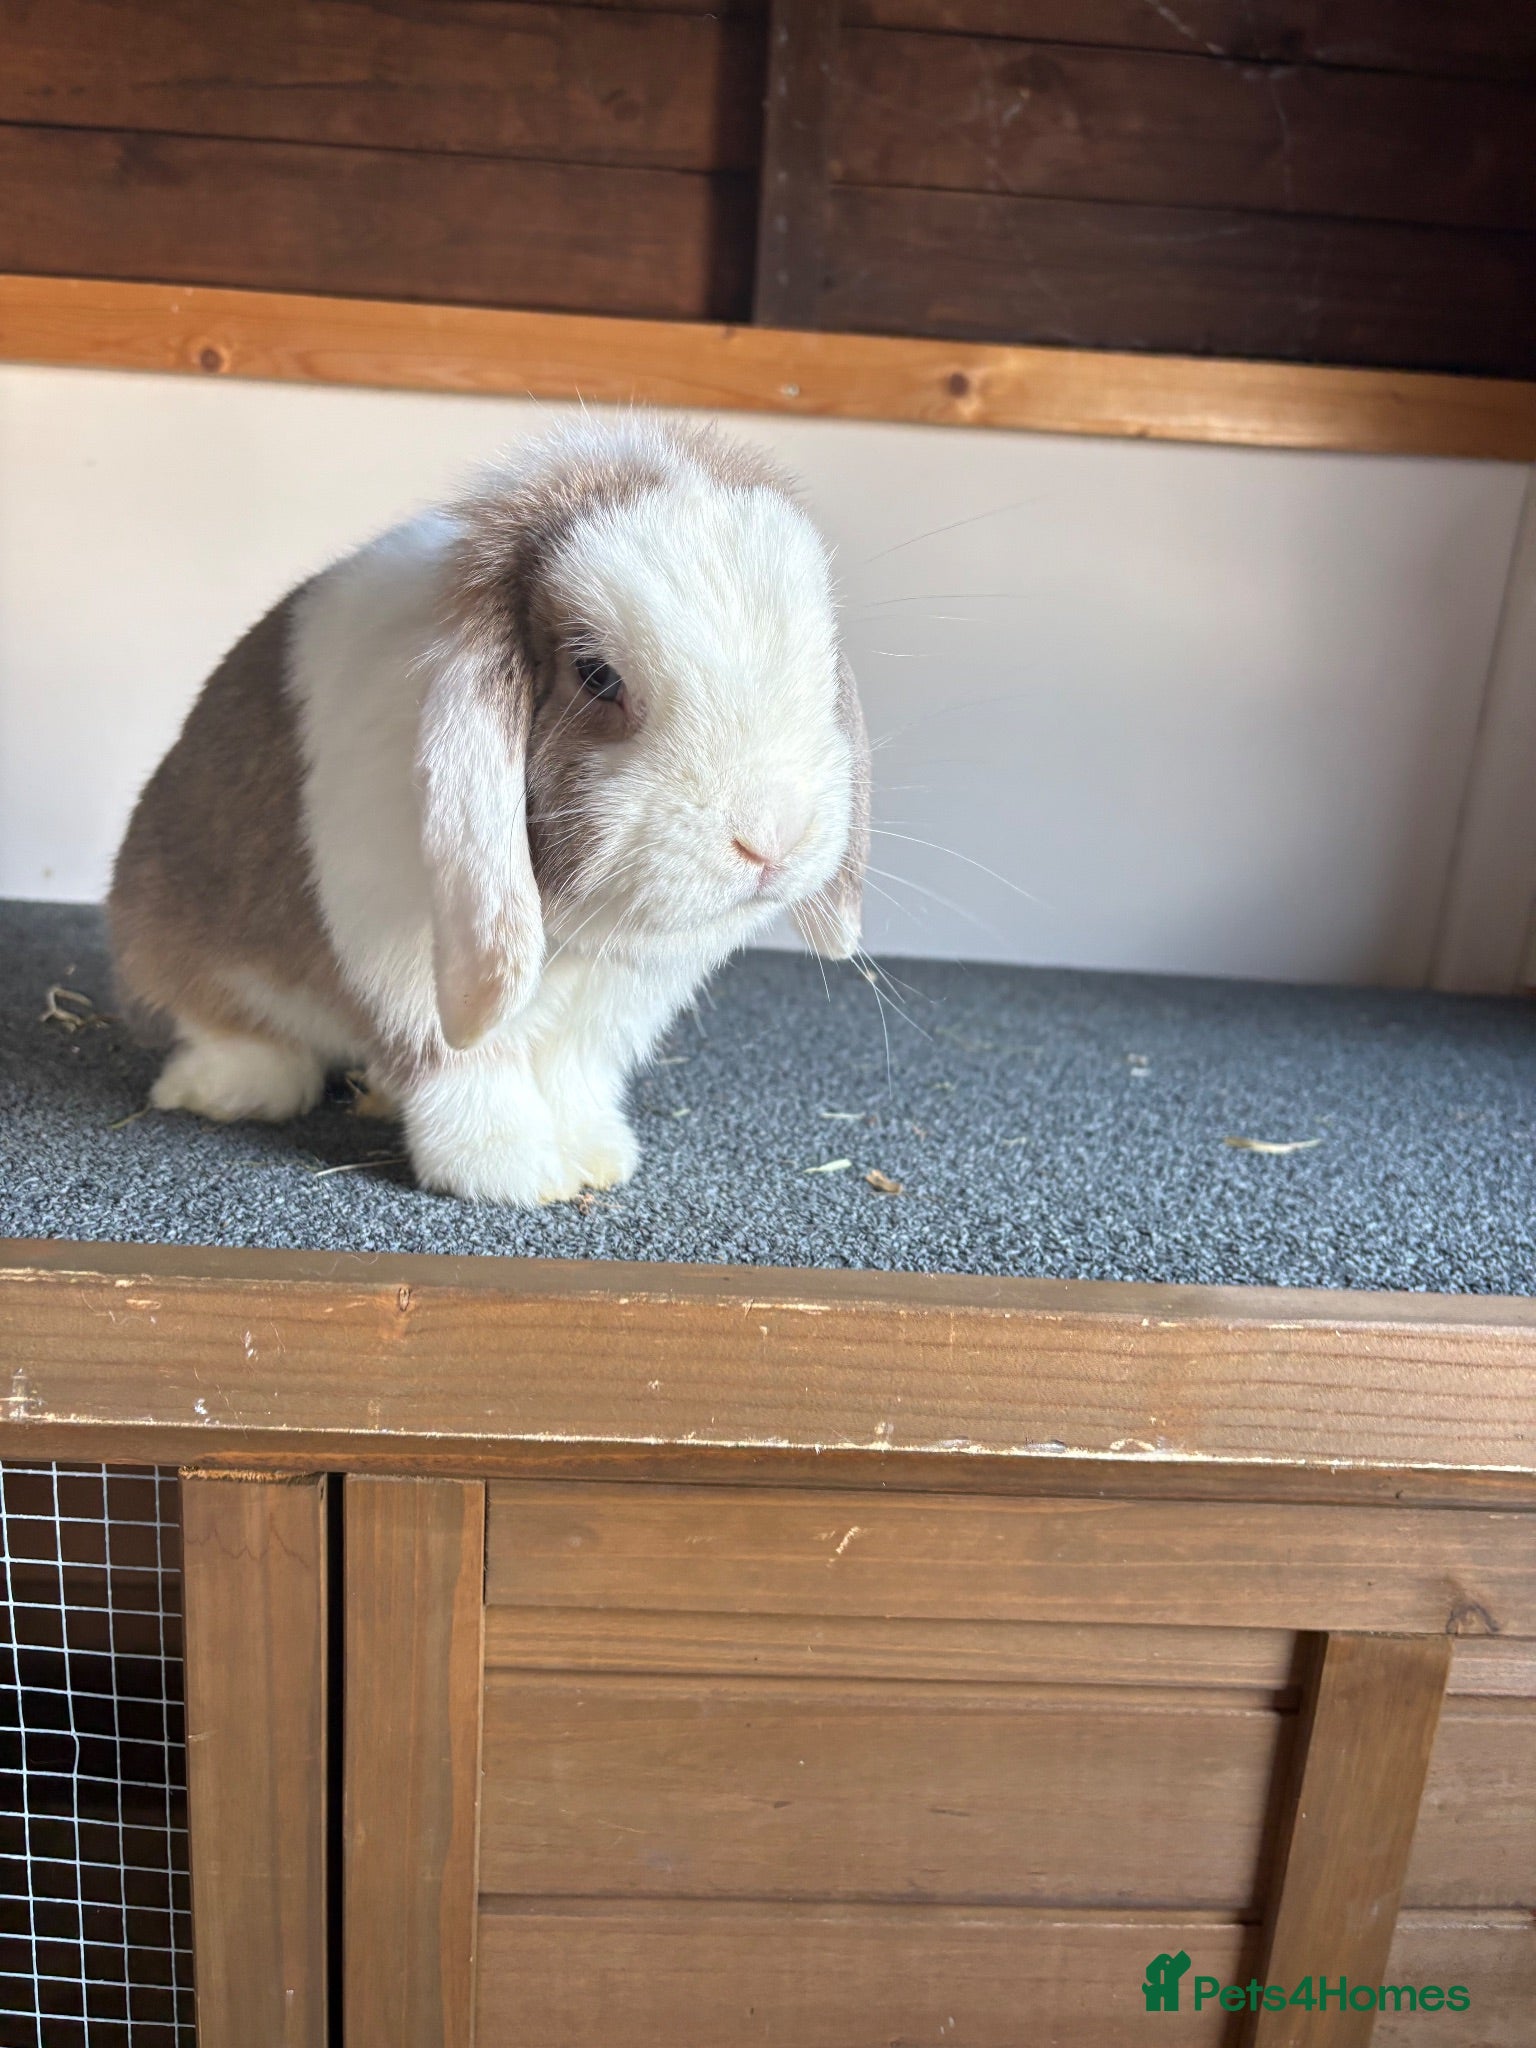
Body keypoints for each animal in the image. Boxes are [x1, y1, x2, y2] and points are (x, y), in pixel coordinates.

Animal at [108, 416, 870, 1204]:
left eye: (822, 658)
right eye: (597, 675)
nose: (772, 838)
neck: (569, 939)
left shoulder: (604, 1012)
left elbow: (572, 1074)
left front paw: (594, 1156)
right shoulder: (407, 969)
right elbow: (463, 1067)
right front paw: (513, 1170)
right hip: (169, 930)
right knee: (224, 1026)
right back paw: (233, 1089)